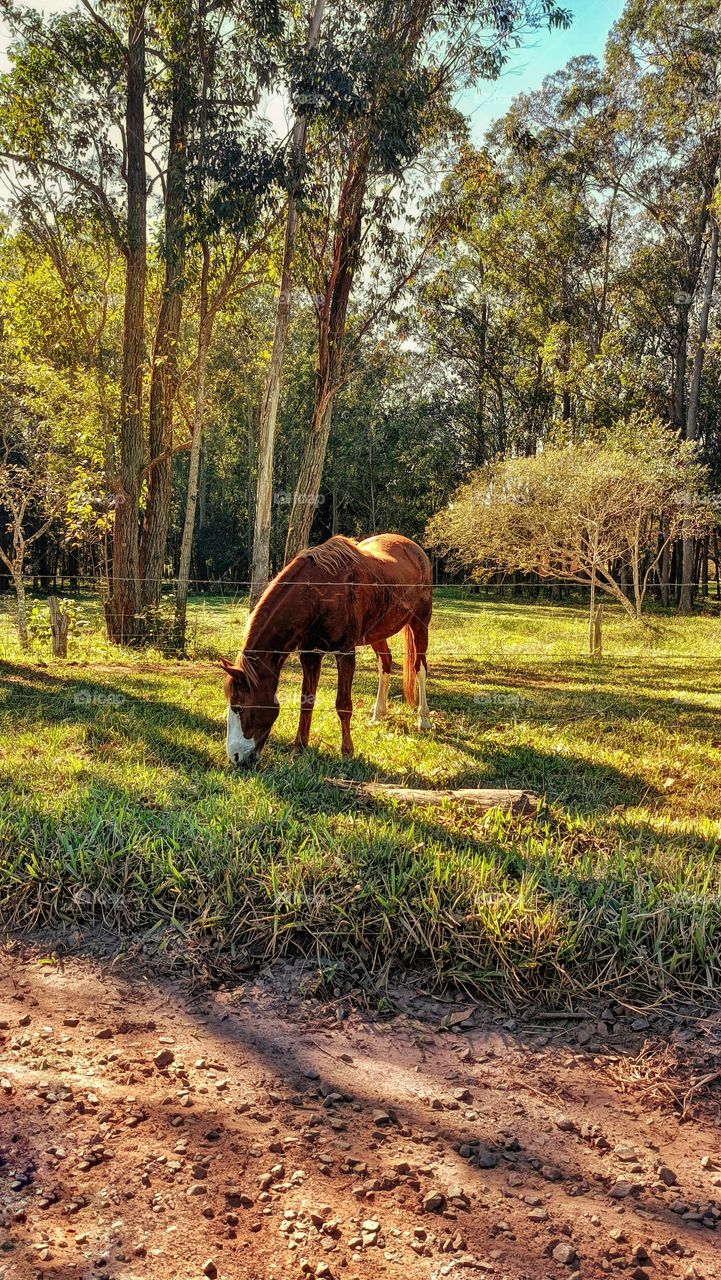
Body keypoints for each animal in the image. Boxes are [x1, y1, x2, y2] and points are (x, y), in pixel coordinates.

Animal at [221, 533, 432, 767]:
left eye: (239, 707)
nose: (235, 757)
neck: (319, 593)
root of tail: (415, 550)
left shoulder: (345, 653)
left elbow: (343, 704)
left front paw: (347, 752)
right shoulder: (310, 654)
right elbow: (307, 701)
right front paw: (299, 750)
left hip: (420, 624)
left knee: (420, 668)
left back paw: (423, 719)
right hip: (378, 634)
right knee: (385, 664)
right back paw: (378, 714)